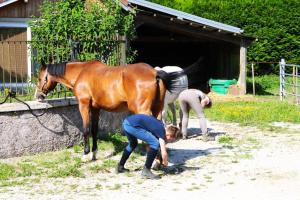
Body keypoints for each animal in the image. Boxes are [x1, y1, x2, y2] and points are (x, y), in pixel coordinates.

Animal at [35, 60, 185, 160]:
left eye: (40, 77)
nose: (38, 96)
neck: (82, 72)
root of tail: (155, 73)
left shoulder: (84, 106)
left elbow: (86, 129)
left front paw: (85, 154)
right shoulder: (96, 108)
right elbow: (94, 130)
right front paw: (94, 153)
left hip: (144, 111)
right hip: (157, 110)